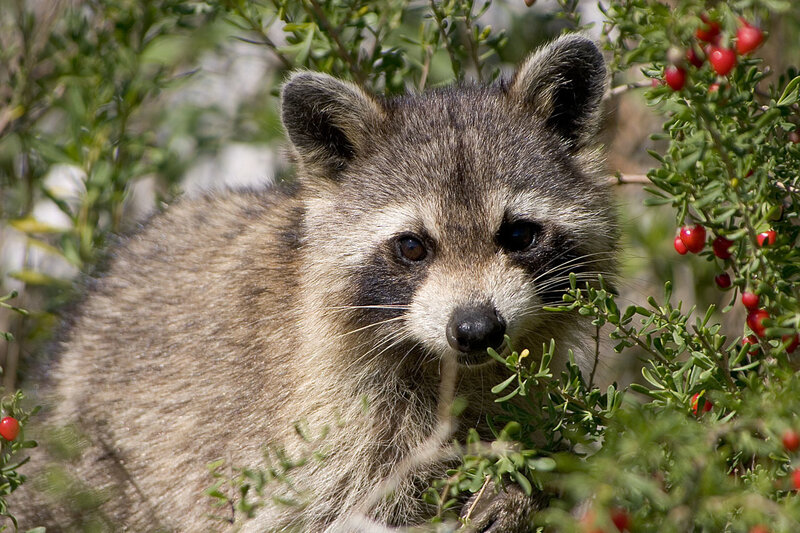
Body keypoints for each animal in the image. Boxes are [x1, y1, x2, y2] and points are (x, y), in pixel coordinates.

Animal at [20, 34, 615, 532]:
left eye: (518, 234)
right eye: (411, 247)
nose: (475, 330)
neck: (447, 369)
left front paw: (520, 497)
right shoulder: (312, 433)